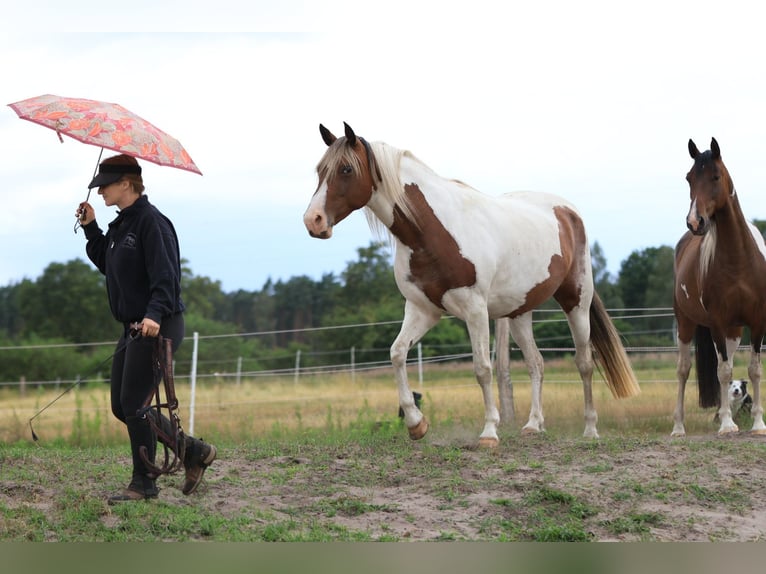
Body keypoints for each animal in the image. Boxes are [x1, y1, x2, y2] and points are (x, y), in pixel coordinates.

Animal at [303, 123, 640, 446]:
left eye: (346, 169)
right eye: (320, 170)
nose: (313, 221)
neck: (432, 231)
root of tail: (568, 212)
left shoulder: (475, 310)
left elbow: (482, 369)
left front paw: (489, 432)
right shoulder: (421, 309)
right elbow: (397, 353)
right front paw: (416, 424)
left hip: (576, 302)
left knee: (584, 363)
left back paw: (590, 430)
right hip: (519, 313)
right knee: (536, 363)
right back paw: (533, 425)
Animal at [672, 137, 766, 436]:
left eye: (715, 176)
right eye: (689, 178)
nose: (695, 221)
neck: (739, 259)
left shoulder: (757, 322)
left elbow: (753, 370)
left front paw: (758, 424)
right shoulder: (717, 322)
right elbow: (722, 373)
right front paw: (726, 424)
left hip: (734, 331)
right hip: (686, 324)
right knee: (684, 369)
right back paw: (679, 427)